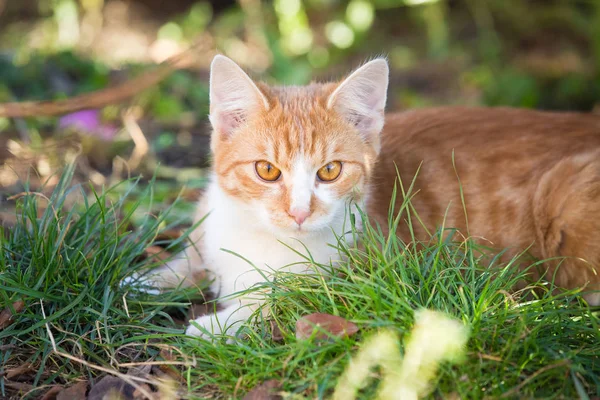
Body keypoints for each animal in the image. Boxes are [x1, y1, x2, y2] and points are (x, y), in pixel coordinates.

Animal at [146, 54, 600, 340]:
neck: (262, 239)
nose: (299, 212)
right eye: (267, 170)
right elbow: (189, 260)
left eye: (330, 171)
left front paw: (221, 322)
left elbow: (287, 296)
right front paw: (147, 280)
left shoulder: (366, 276)